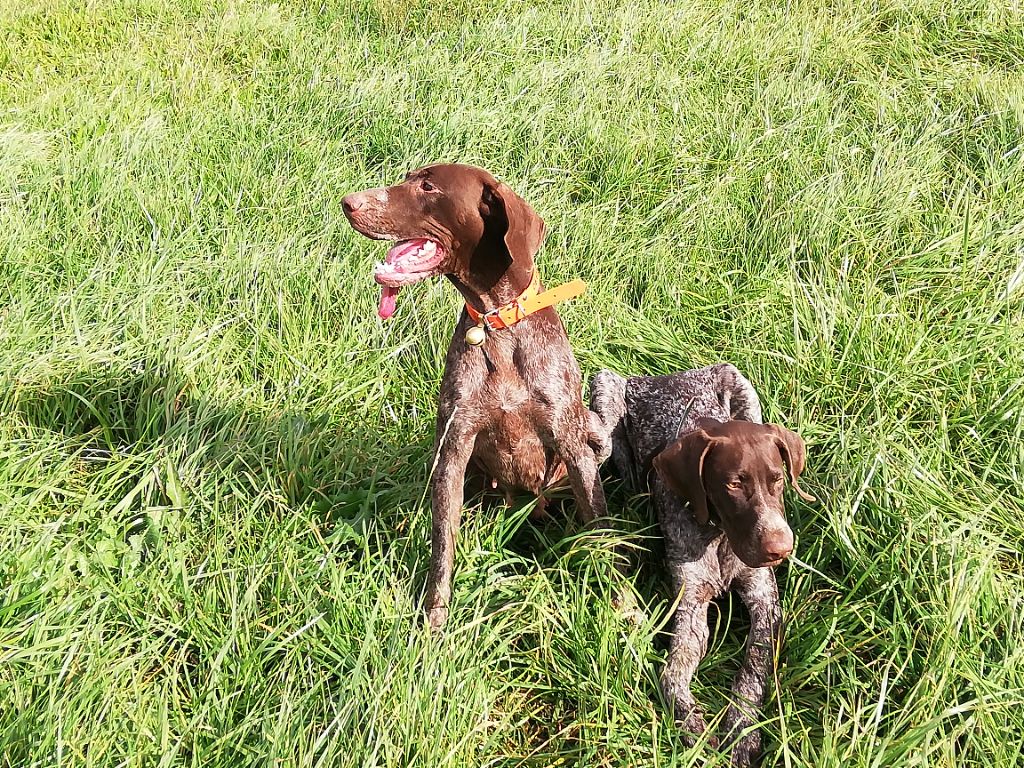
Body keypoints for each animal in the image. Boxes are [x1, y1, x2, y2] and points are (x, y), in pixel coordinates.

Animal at [342, 162, 606, 630]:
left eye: (428, 186)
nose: (349, 202)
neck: (497, 323)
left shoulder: (573, 446)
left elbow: (601, 528)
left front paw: (623, 602)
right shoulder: (453, 449)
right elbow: (442, 545)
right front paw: (435, 618)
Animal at [589, 364, 811, 765]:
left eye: (777, 480)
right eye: (733, 485)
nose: (780, 548)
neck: (720, 535)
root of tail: (665, 376)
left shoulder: (764, 601)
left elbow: (753, 668)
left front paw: (741, 730)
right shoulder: (691, 603)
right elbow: (673, 673)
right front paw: (692, 723)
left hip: (742, 389)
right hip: (605, 398)